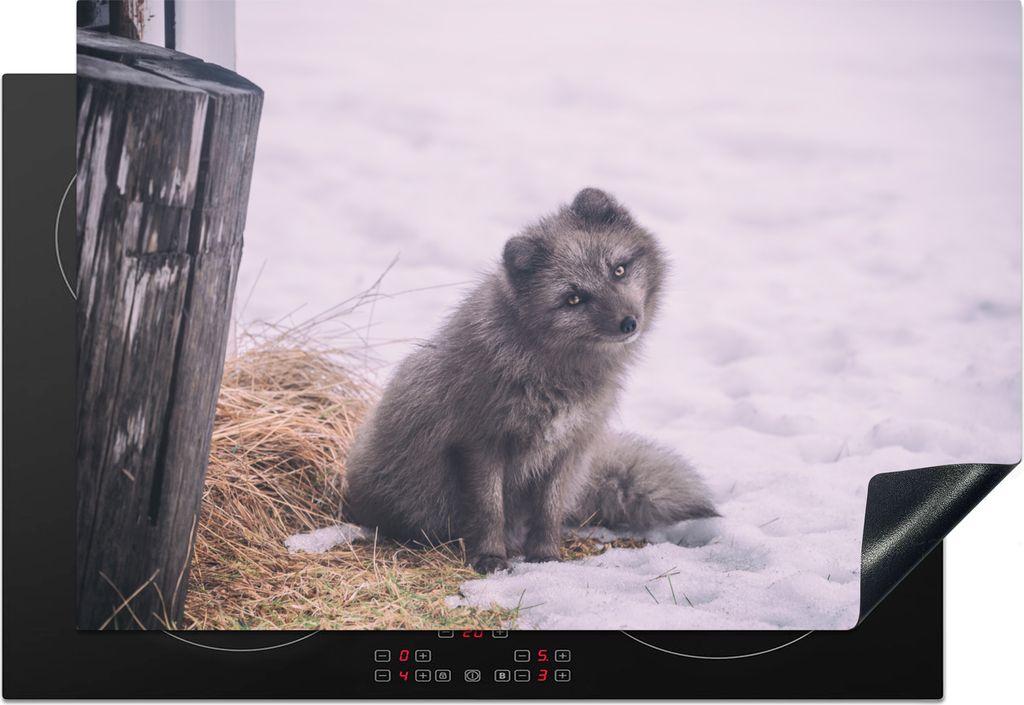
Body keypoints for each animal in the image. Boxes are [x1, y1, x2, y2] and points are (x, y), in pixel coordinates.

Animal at [342, 188, 717, 573]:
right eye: (574, 298)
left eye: (619, 269)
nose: (629, 323)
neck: (554, 375)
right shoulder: (481, 443)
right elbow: (489, 510)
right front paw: (491, 557)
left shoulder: (568, 447)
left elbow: (549, 511)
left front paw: (547, 557)